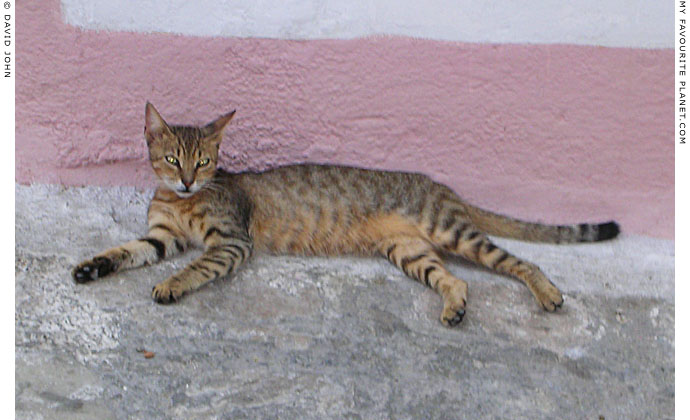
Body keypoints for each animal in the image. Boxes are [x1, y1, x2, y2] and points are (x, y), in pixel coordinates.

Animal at [71, 103, 620, 326]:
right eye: (171, 160)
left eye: (203, 161)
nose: (186, 180)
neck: (182, 200)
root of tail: (442, 186)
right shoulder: (161, 236)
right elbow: (125, 250)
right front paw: (92, 266)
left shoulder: (231, 240)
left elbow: (196, 266)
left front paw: (171, 284)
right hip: (410, 251)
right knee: (458, 280)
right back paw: (455, 308)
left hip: (449, 230)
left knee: (522, 262)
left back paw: (547, 294)